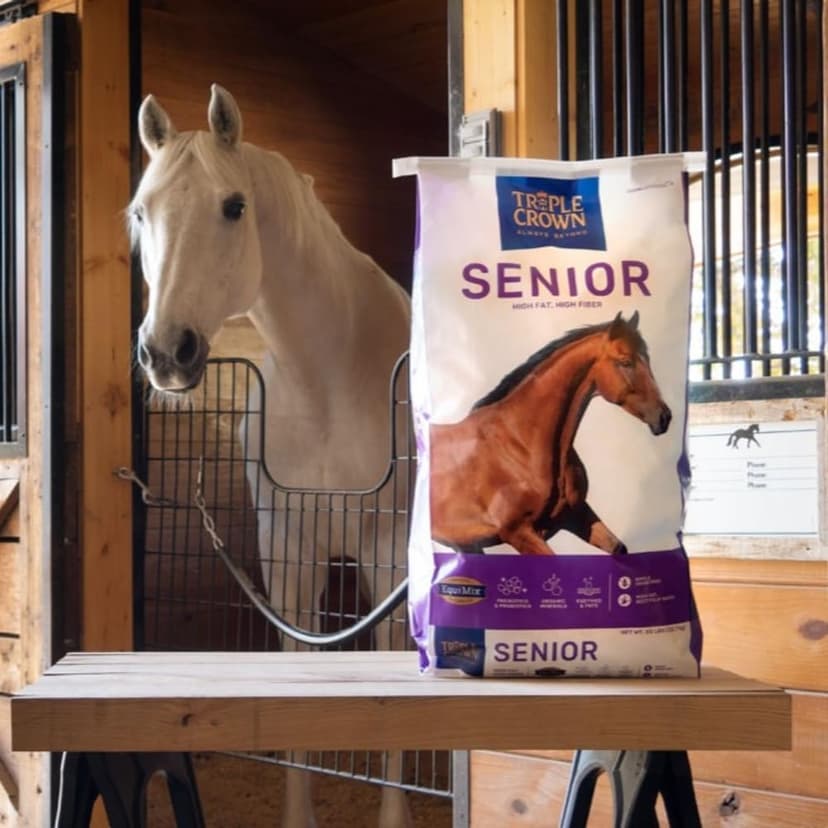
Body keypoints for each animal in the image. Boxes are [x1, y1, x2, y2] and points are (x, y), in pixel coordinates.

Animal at [131, 85, 412, 828]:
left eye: (234, 206)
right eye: (140, 212)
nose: (167, 352)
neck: (329, 379)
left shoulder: (388, 554)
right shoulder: (286, 553)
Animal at [429, 311, 671, 556]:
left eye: (647, 359)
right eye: (625, 362)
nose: (664, 417)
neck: (521, 444)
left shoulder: (576, 515)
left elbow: (618, 548)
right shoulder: (518, 532)